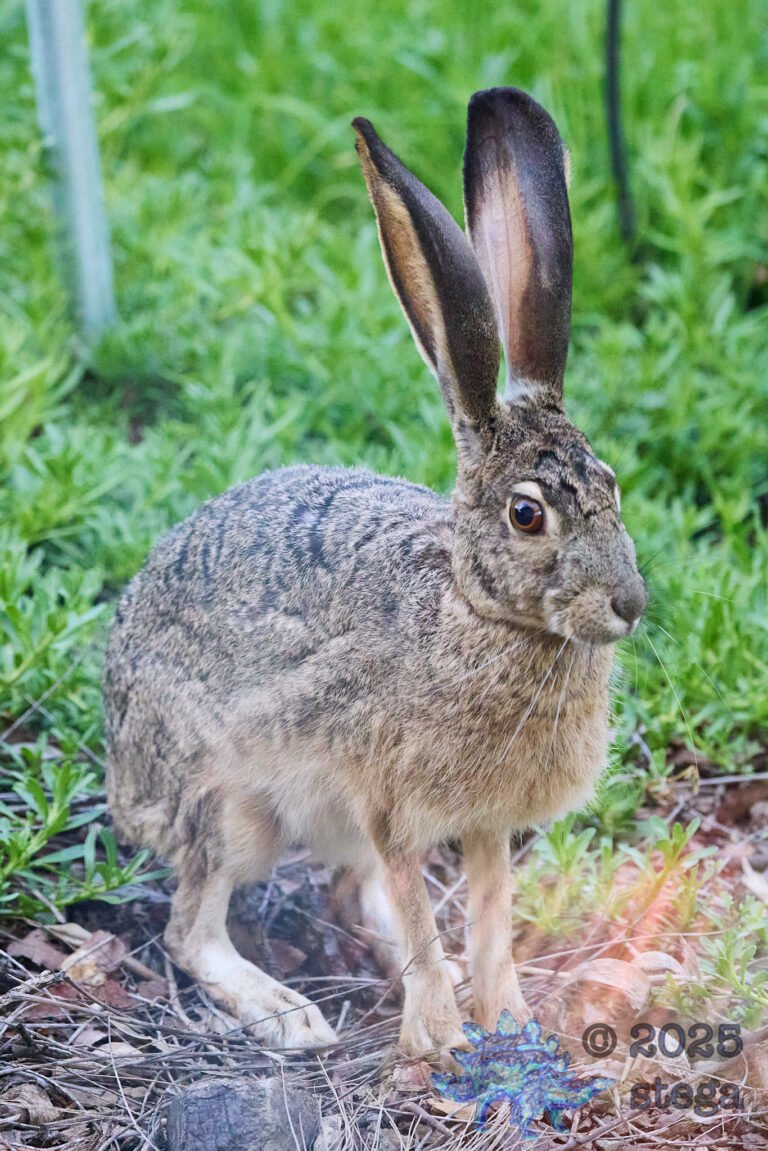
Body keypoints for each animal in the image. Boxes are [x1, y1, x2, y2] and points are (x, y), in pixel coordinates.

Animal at [104, 87, 646, 1058]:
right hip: (226, 803)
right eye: (528, 514)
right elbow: (427, 906)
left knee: (352, 896)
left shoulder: (480, 823)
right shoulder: (392, 808)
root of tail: (122, 773)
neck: (479, 612)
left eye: (614, 485)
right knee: (192, 927)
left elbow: (491, 913)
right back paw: (289, 1014)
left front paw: (509, 1019)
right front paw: (447, 1042)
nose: (630, 603)